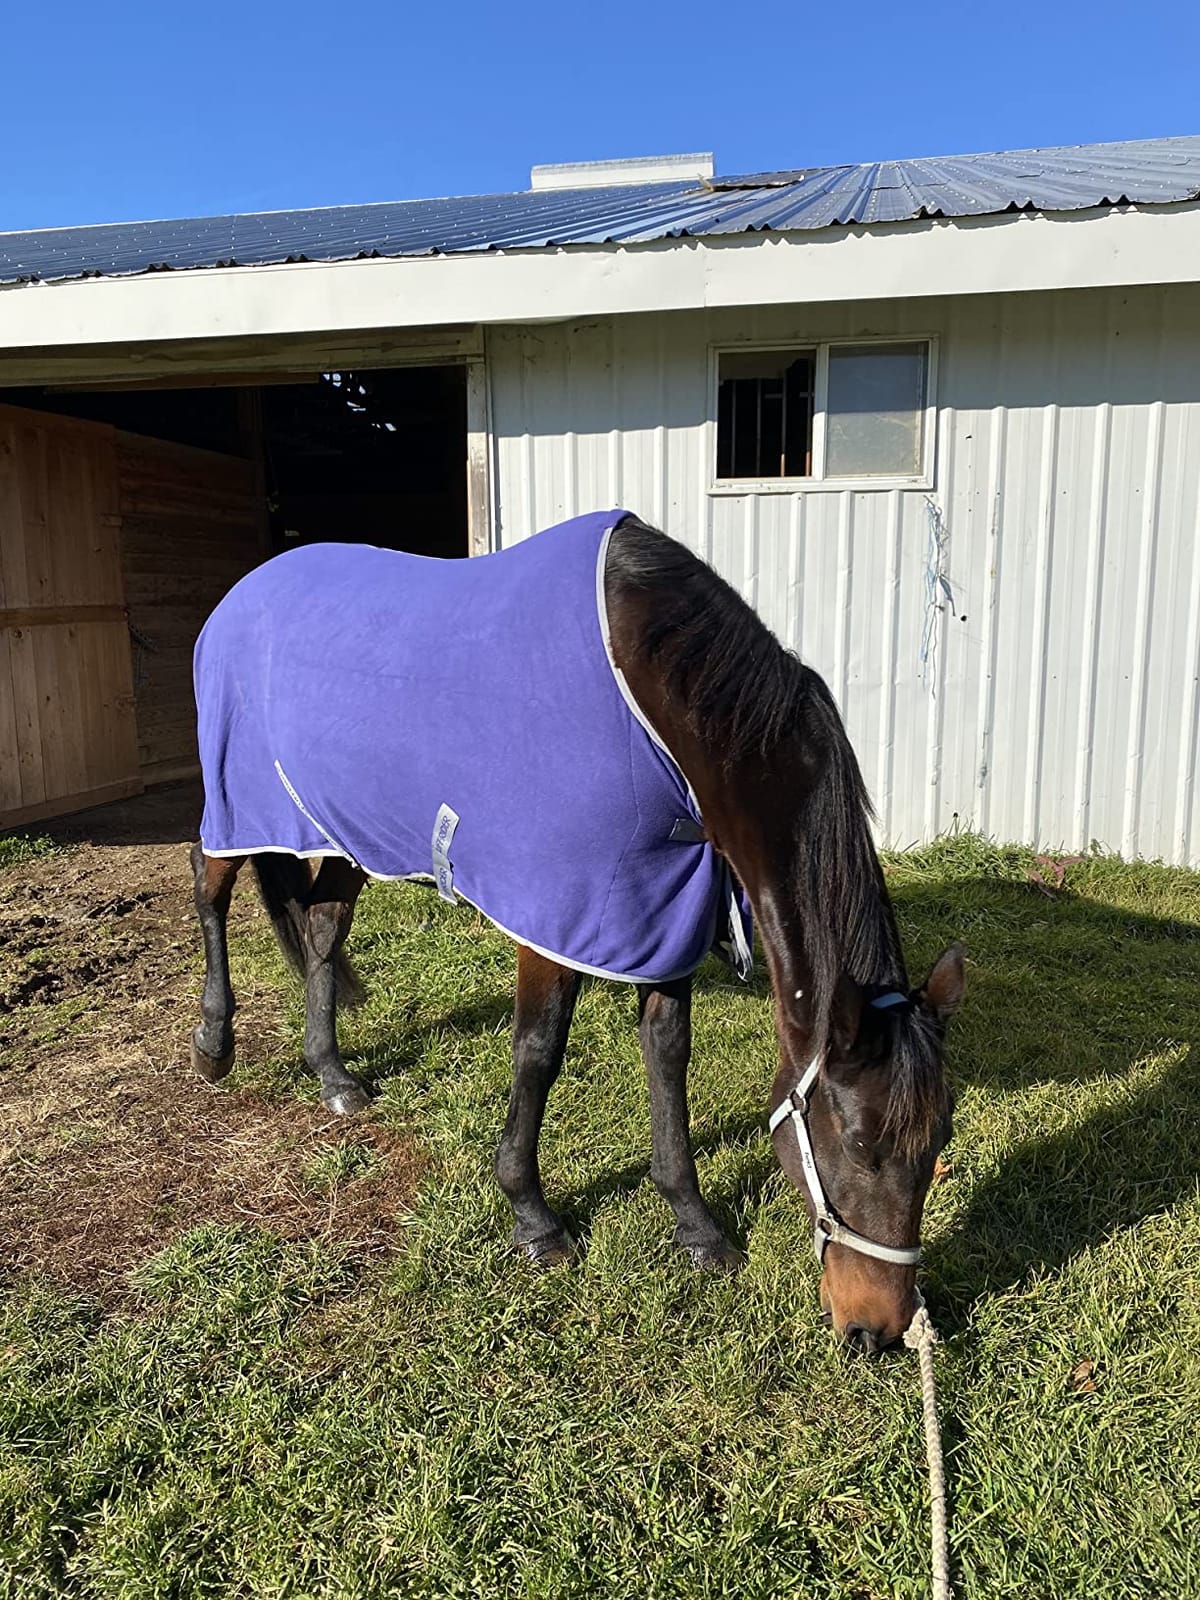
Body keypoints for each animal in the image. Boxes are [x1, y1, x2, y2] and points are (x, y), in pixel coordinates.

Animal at [189, 510, 963, 1352]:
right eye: (858, 1143)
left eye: (940, 1142)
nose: (878, 1329)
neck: (652, 699)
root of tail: (239, 595)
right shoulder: (555, 914)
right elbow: (538, 1053)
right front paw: (534, 1218)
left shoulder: (662, 911)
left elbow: (668, 1055)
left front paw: (694, 1224)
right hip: (240, 803)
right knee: (209, 890)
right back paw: (214, 1043)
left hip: (341, 828)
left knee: (325, 928)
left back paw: (332, 1075)